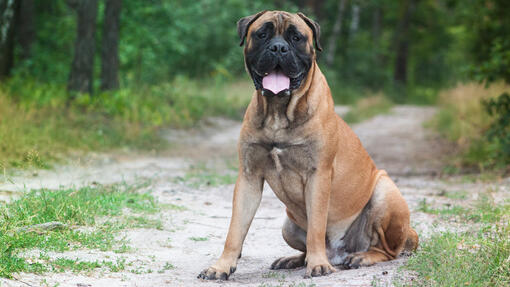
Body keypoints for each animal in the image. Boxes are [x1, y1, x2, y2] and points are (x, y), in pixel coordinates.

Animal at [197, 11, 416, 282]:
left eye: (296, 37)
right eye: (262, 34)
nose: (278, 47)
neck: (278, 112)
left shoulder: (318, 175)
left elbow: (316, 227)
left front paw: (318, 265)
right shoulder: (249, 176)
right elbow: (235, 230)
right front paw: (221, 266)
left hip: (385, 192)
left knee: (388, 250)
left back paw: (361, 257)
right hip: (288, 224)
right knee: (304, 249)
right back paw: (292, 259)